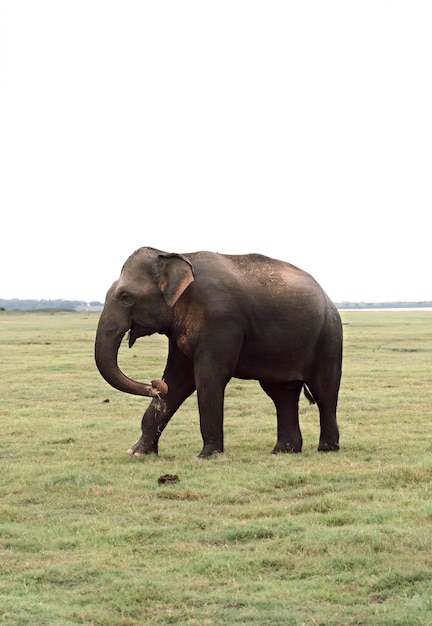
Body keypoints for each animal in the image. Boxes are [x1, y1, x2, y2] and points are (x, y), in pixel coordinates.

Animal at [93, 246, 340, 456]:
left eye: (126, 297)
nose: (155, 385)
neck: (177, 255)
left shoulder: (220, 320)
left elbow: (208, 376)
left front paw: (207, 455)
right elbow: (178, 378)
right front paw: (137, 452)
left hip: (328, 336)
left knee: (324, 390)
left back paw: (326, 449)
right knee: (281, 393)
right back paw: (284, 451)